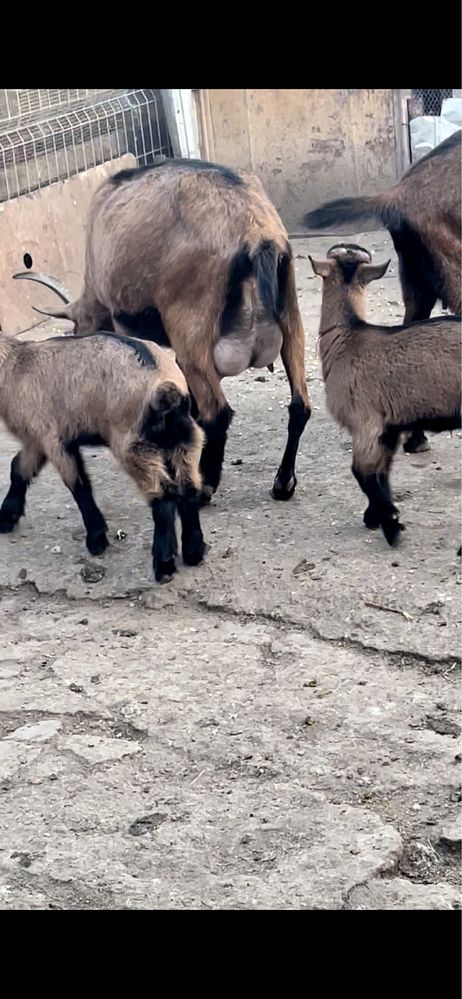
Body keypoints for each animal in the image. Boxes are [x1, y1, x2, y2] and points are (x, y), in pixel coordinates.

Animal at [15, 161, 310, 512]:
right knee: (300, 404)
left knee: (217, 412)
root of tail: (255, 233)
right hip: (289, 310)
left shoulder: (126, 321)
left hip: (190, 323)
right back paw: (283, 483)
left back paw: (205, 486)